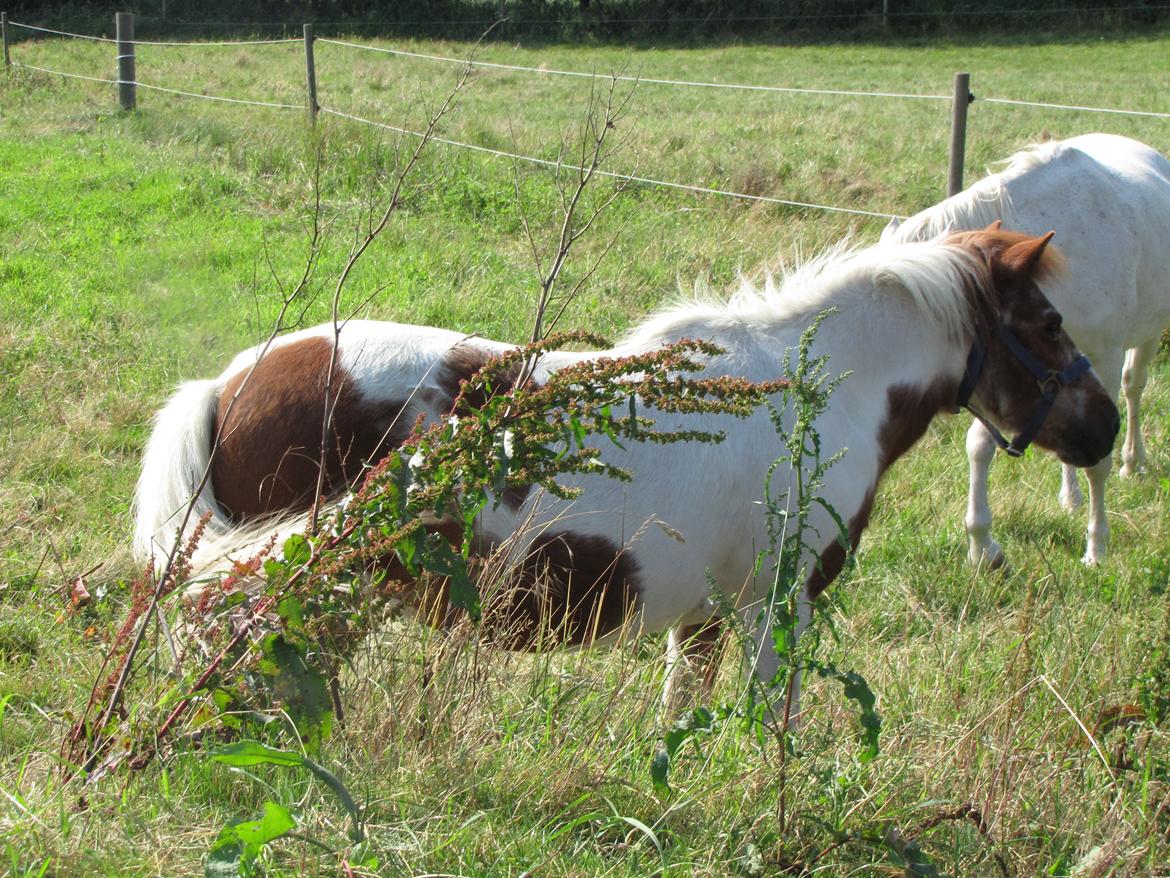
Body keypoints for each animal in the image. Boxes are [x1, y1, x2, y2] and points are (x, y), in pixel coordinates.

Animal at [132, 230, 1118, 716]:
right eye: (1049, 324)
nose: (1105, 429)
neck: (821, 387)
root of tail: (232, 382)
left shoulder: (708, 617)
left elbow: (682, 716)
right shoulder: (778, 605)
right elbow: (774, 724)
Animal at [884, 134, 1170, 566]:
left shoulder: (1103, 357)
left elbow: (1099, 460)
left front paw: (1096, 548)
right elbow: (980, 447)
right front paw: (981, 544)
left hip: (1146, 336)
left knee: (1133, 389)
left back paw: (1132, 462)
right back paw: (1070, 496)